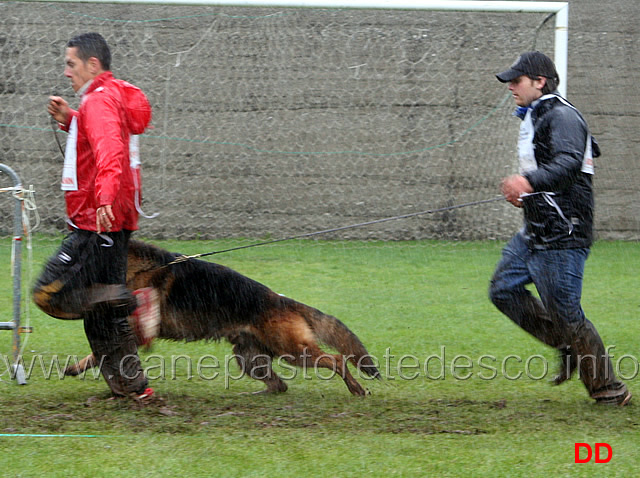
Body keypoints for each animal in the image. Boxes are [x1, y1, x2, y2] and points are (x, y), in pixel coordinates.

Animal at [66, 241, 380, 394]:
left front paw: (79, 365)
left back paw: (355, 388)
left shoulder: (134, 325)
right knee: (279, 385)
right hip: (249, 358)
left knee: (336, 360)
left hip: (293, 351)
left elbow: (99, 351)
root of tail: (281, 299)